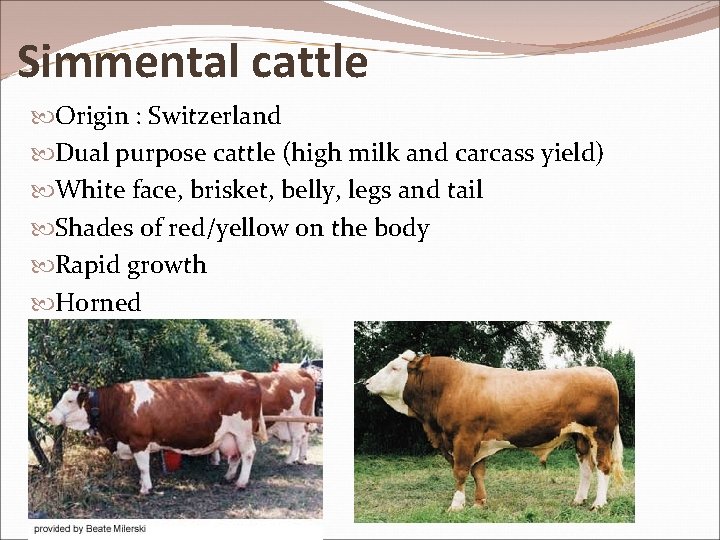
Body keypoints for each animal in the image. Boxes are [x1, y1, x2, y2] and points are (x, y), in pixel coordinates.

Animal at [46, 372, 267, 494]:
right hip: (229, 435)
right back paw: (228, 477)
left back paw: (241, 483)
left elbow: (143, 467)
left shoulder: (139, 441)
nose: (49, 416)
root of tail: (241, 375)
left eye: (69, 400)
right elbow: (141, 468)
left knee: (248, 454)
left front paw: (145, 488)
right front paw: (142, 484)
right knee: (235, 456)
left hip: (243, 433)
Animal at [364, 350, 625, 512]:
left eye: (394, 368)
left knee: (603, 466)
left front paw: (456, 505)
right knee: (586, 468)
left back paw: (598, 504)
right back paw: (578, 499)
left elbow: (460, 471)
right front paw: (480, 502)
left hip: (601, 434)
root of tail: (601, 371)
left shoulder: (464, 437)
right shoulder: (478, 441)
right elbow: (477, 472)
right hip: (580, 437)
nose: (366, 382)